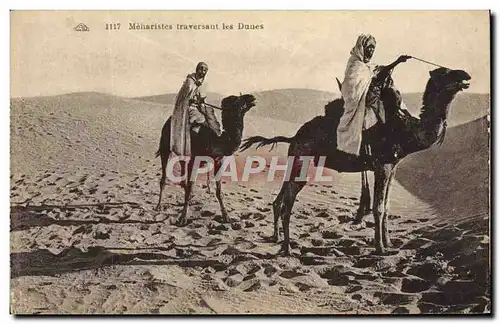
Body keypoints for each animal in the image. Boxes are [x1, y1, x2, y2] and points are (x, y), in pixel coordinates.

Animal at [155, 93, 258, 225]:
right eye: (236, 101)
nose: (251, 97)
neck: (217, 139)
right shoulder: (195, 160)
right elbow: (190, 187)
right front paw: (183, 218)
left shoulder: (219, 161)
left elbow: (219, 191)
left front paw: (226, 217)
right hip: (165, 147)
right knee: (164, 177)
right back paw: (159, 205)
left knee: (182, 165)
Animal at [240, 67, 470, 256]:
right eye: (446, 73)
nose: (466, 75)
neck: (405, 131)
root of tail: (293, 137)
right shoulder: (382, 166)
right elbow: (378, 208)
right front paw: (380, 248)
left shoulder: (393, 168)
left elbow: (387, 206)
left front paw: (390, 244)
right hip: (302, 162)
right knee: (288, 203)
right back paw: (288, 249)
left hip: (294, 162)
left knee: (280, 199)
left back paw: (277, 238)